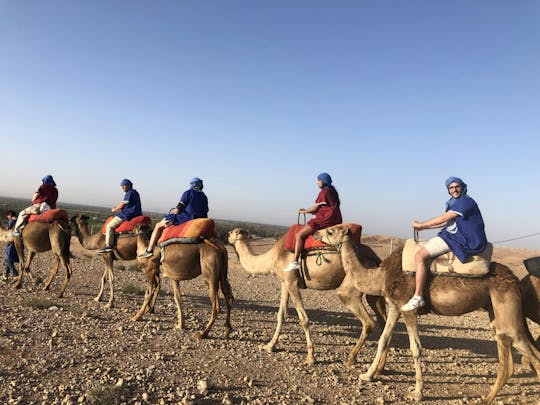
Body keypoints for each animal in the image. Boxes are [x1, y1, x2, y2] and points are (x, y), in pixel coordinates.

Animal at [226, 227, 386, 366]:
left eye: (232, 232)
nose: (227, 237)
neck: (274, 257)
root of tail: (375, 258)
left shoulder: (292, 282)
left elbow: (303, 319)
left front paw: (310, 358)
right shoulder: (284, 282)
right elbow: (281, 315)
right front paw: (269, 346)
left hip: (350, 287)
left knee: (368, 322)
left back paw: (352, 359)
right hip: (373, 291)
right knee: (383, 323)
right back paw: (379, 367)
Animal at [314, 226, 540, 402]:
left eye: (331, 231)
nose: (316, 233)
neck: (380, 275)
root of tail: (515, 280)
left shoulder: (409, 308)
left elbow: (416, 348)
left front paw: (417, 392)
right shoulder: (395, 306)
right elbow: (383, 339)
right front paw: (367, 375)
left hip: (506, 307)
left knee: (521, 345)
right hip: (495, 310)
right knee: (513, 349)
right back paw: (488, 398)